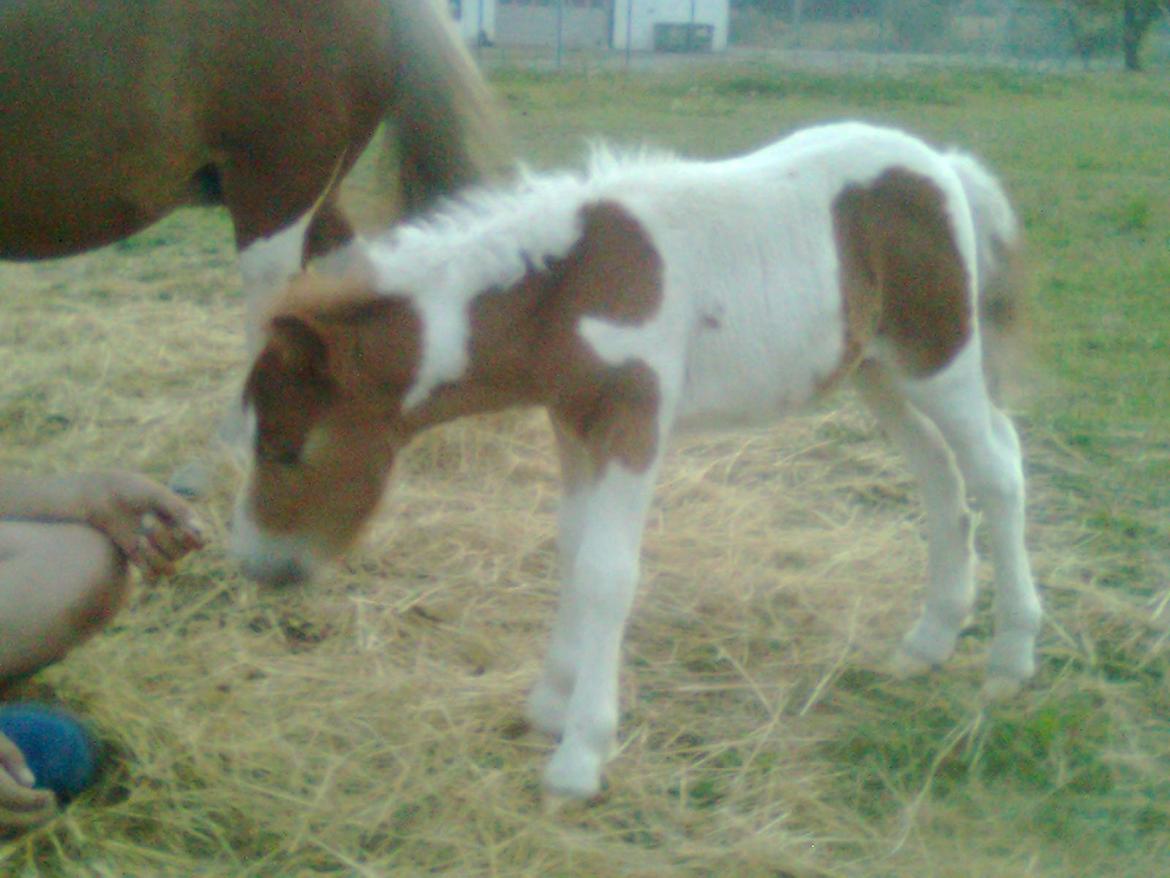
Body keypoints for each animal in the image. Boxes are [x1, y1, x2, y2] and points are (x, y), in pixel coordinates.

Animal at [228, 124, 1043, 805]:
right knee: (938, 475)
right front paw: (550, 704)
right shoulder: (572, 425)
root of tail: (944, 164)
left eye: (285, 447)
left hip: (938, 356)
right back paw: (928, 642)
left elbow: (606, 573)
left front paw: (581, 756)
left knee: (998, 470)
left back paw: (1009, 661)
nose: (257, 564)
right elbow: (571, 550)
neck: (565, 293)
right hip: (877, 371)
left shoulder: (633, 420)